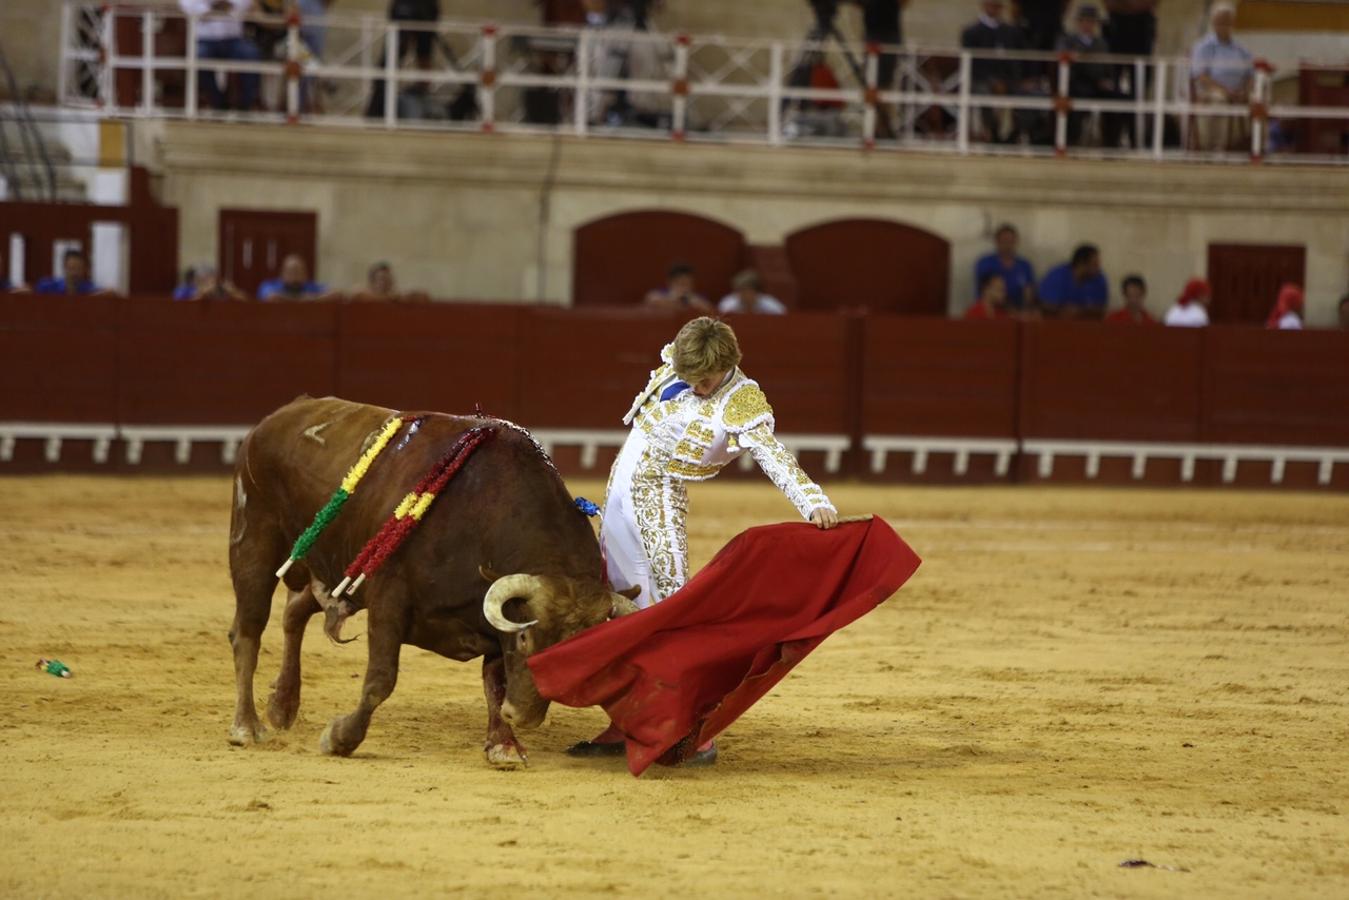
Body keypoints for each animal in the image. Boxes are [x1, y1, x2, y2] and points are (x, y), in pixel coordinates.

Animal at [226, 399, 636, 766]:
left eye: (579, 654)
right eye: (524, 639)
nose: (523, 715)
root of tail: (279, 416)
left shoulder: (488, 619)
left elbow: (495, 682)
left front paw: (503, 745)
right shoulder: (388, 600)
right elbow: (381, 679)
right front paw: (341, 738)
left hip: (333, 568)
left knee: (294, 612)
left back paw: (282, 706)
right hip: (254, 540)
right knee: (248, 632)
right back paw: (247, 726)